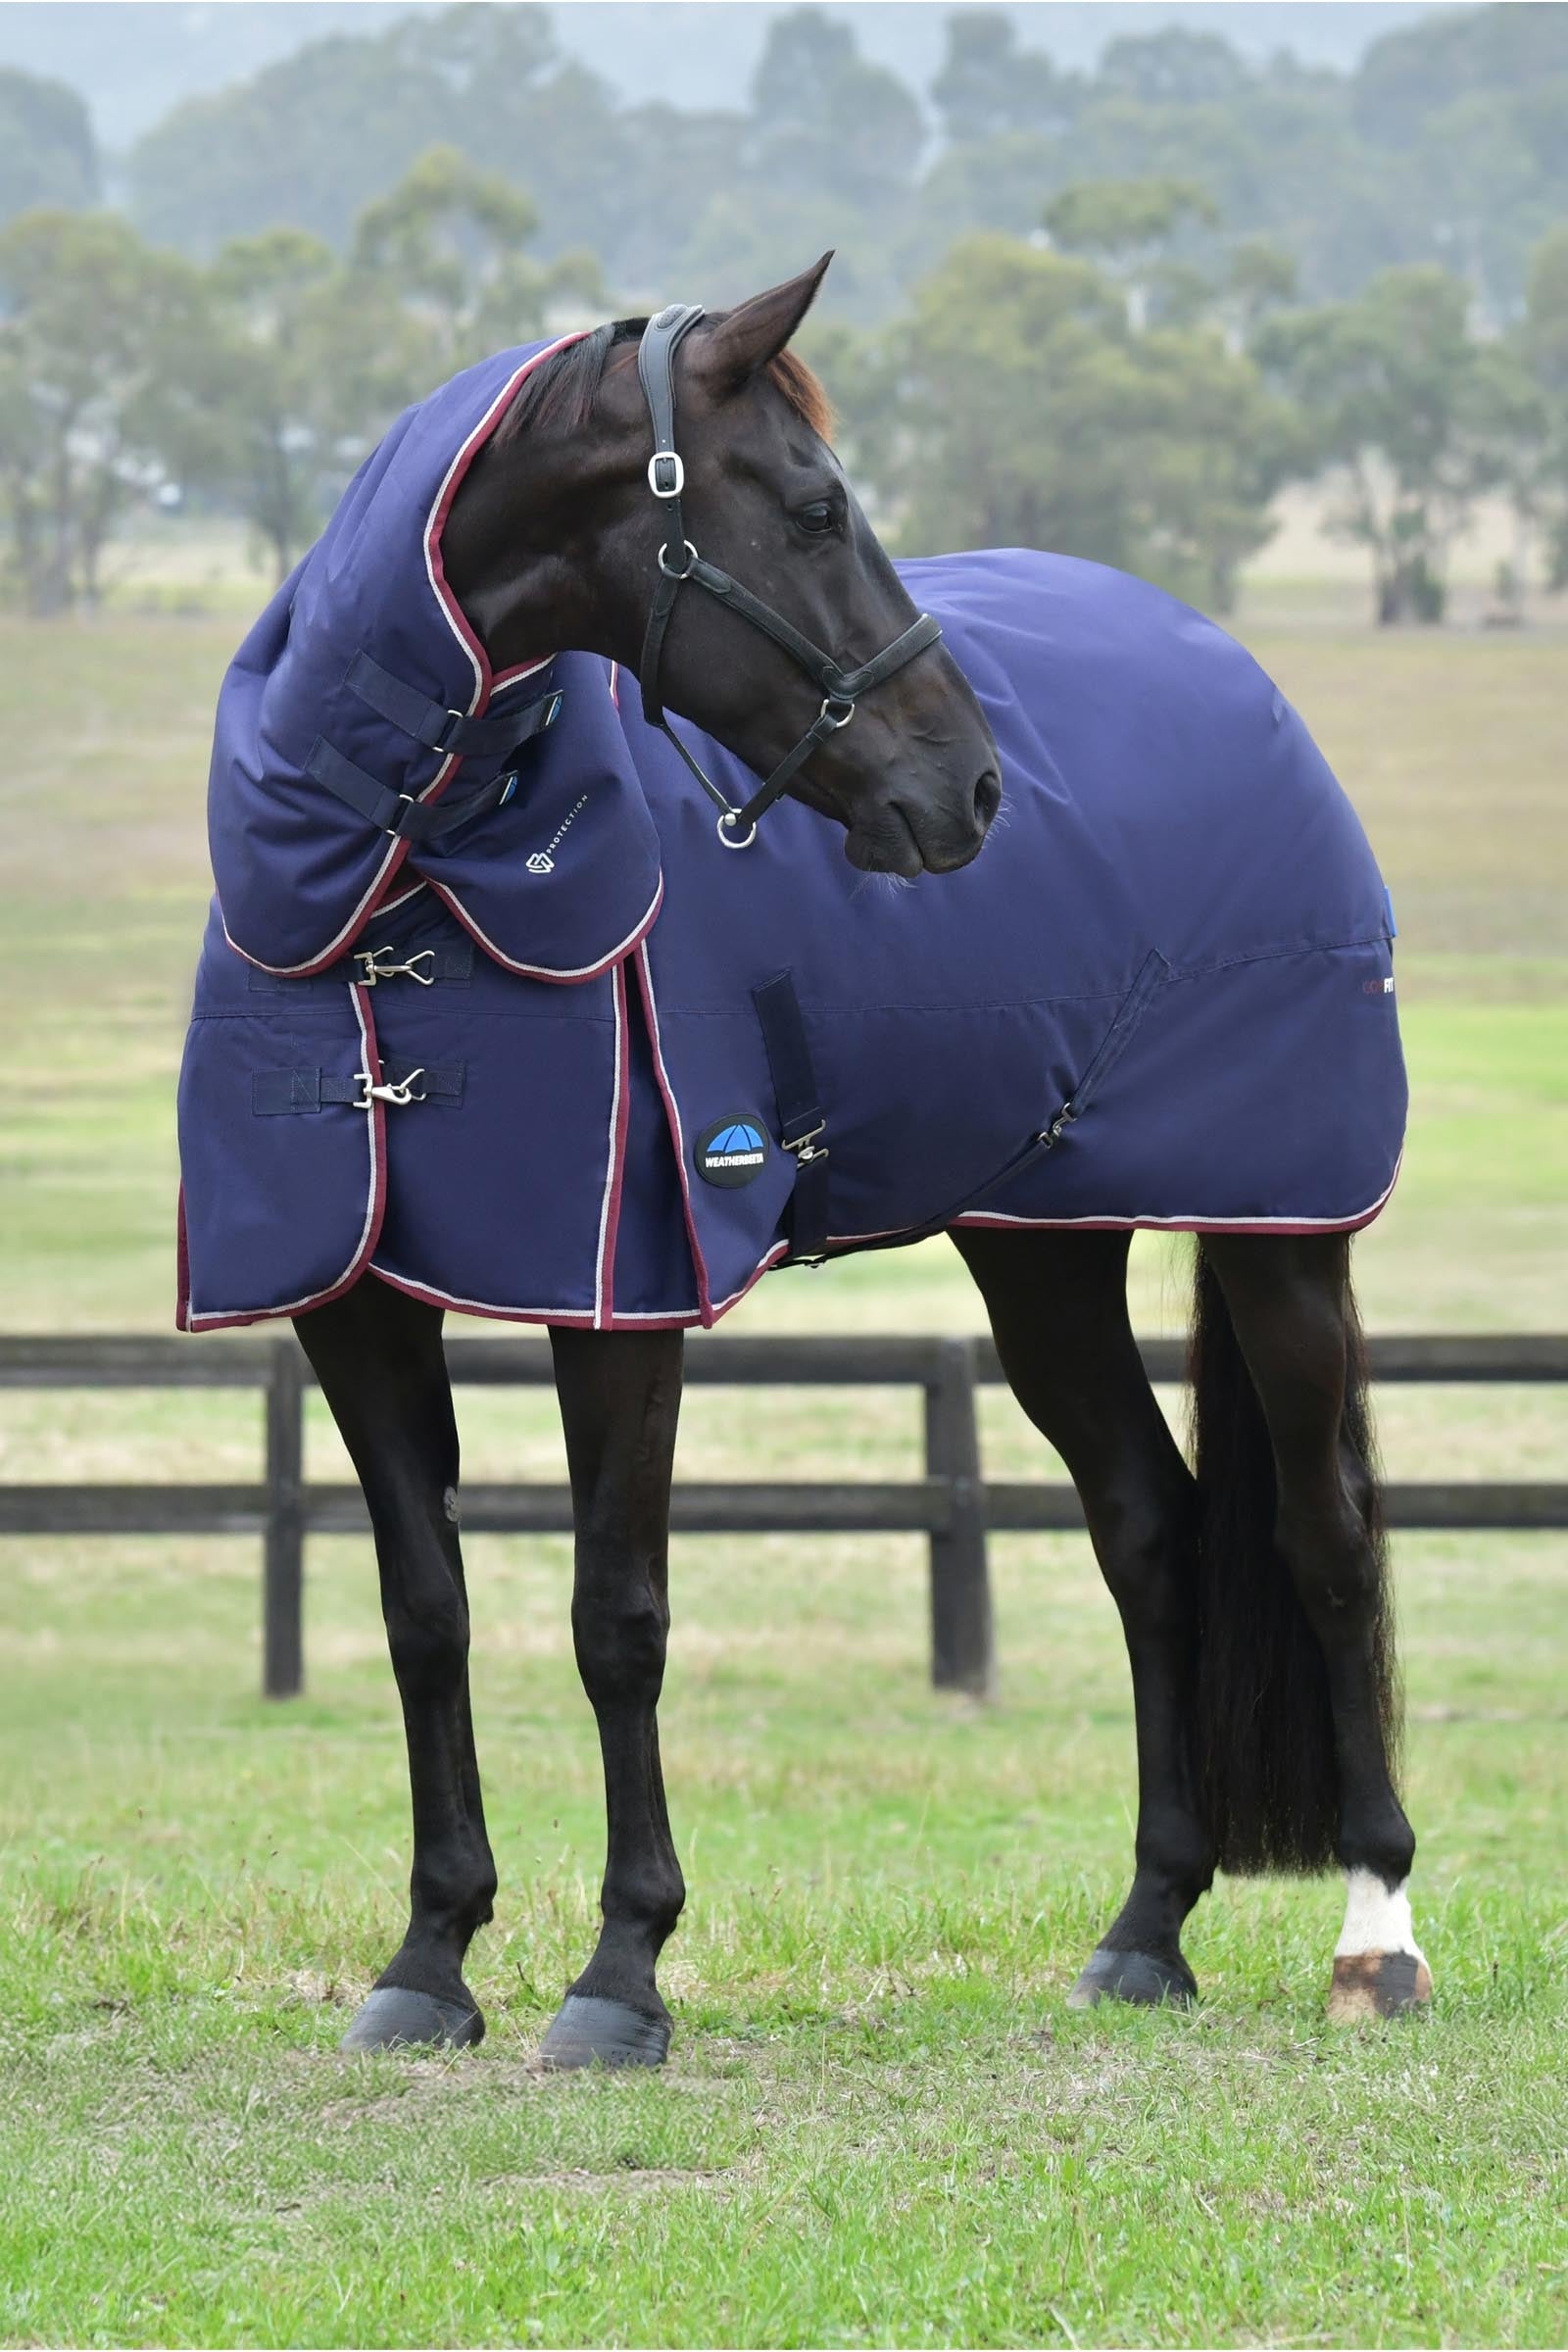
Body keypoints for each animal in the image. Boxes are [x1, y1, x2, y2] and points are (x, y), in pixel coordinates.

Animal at [177, 258, 1427, 2067]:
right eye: (817, 504)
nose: (971, 787)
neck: (405, 890)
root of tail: (1226, 664)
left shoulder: (620, 1300)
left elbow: (616, 1619)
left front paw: (620, 1971)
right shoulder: (351, 1301)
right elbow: (427, 1610)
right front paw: (428, 1958)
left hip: (1279, 1229)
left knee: (1326, 1536)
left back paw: (1376, 1933)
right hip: (1041, 1247)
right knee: (1150, 1527)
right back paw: (1144, 1930)